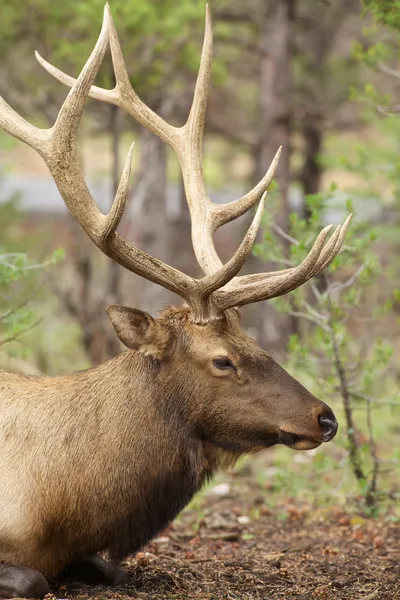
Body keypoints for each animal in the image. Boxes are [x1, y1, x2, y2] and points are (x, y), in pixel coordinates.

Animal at [0, 5, 350, 600]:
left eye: (252, 340)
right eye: (222, 360)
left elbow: (109, 567)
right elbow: (29, 579)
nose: (324, 418)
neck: (60, 508)